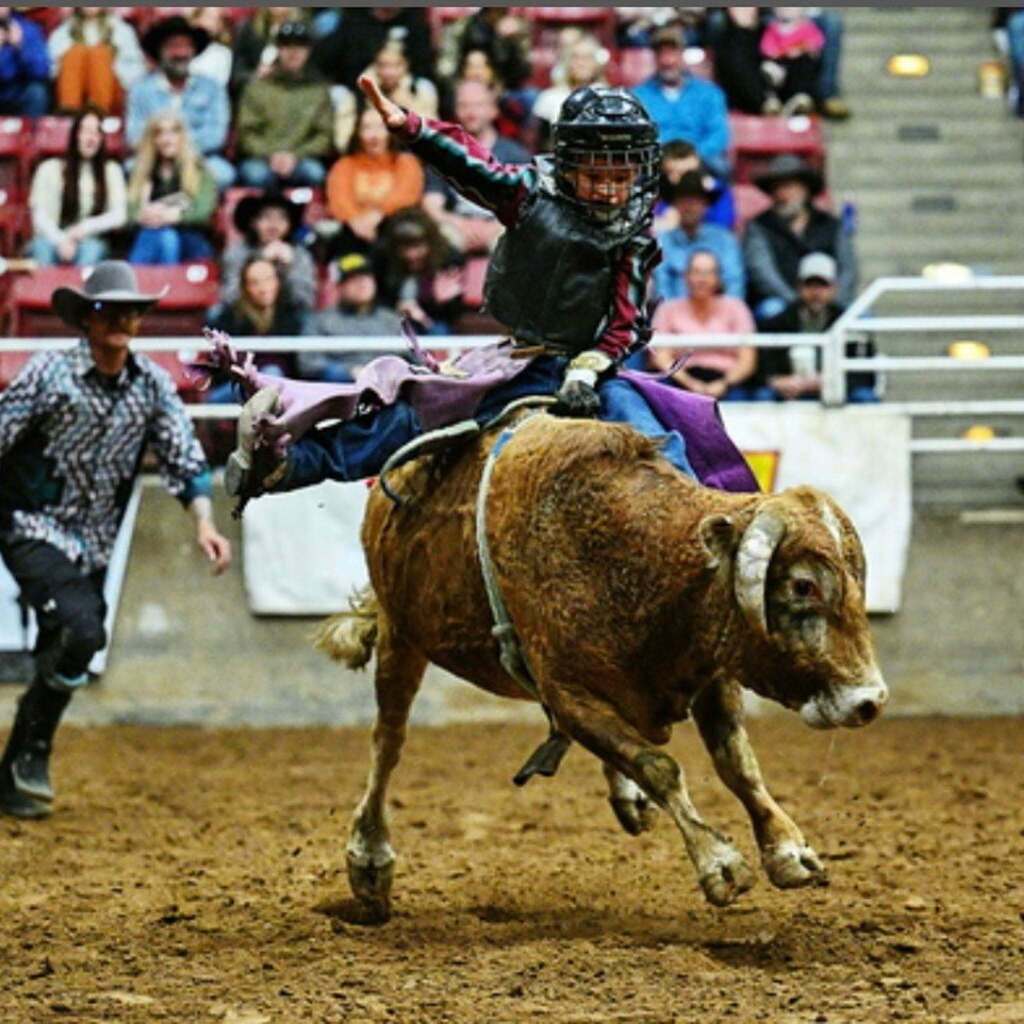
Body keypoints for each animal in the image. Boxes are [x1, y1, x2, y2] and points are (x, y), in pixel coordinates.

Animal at [316, 411, 887, 922]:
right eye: (803, 585)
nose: (870, 700)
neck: (629, 557)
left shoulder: (712, 670)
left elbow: (737, 763)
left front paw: (789, 850)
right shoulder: (570, 695)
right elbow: (660, 767)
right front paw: (720, 863)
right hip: (401, 635)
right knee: (388, 741)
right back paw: (370, 859)